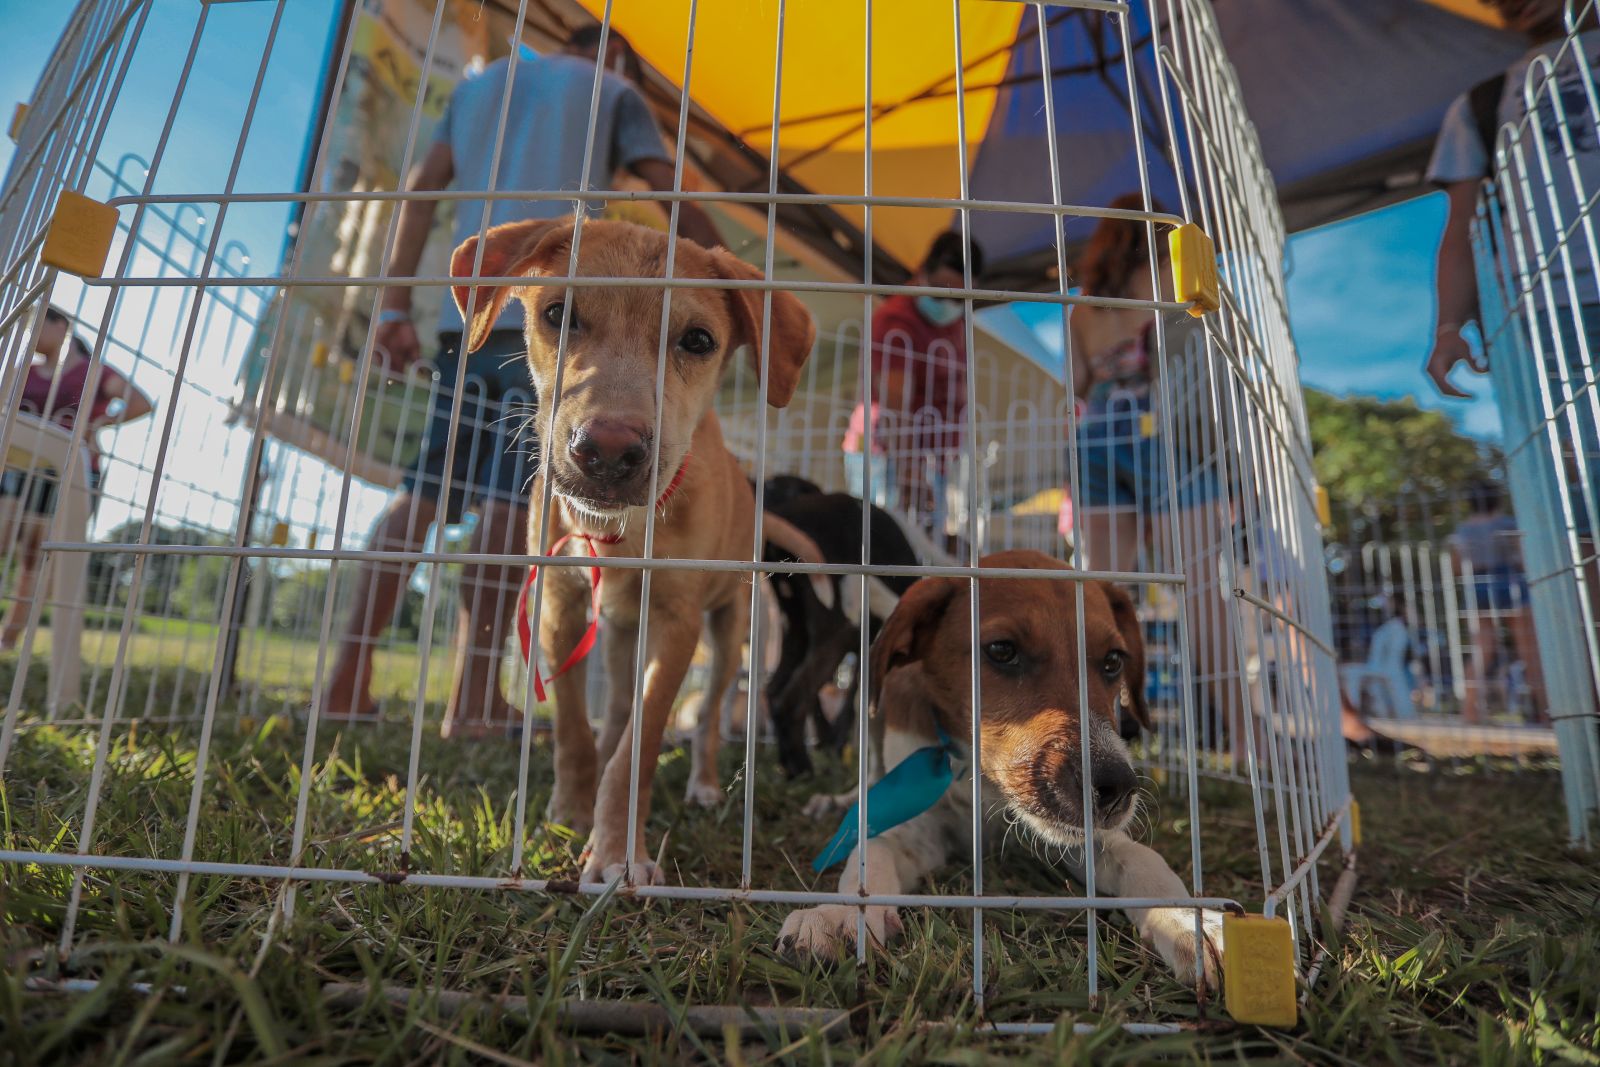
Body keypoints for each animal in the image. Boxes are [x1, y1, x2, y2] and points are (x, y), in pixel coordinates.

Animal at [457, 214, 819, 883]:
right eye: (558, 314)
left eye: (698, 340)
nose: (606, 452)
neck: (621, 532)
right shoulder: (560, 605)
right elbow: (574, 728)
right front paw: (569, 813)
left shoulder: (676, 623)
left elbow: (641, 747)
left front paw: (616, 854)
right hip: (622, 634)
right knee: (618, 707)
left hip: (729, 630)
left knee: (708, 717)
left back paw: (703, 784)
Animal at [784, 556, 1222, 991]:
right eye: (1002, 650)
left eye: (1113, 661)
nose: (1118, 789)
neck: (983, 785)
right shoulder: (918, 828)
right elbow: (870, 854)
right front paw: (843, 913)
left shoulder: (1083, 839)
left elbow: (1142, 858)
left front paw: (1188, 920)